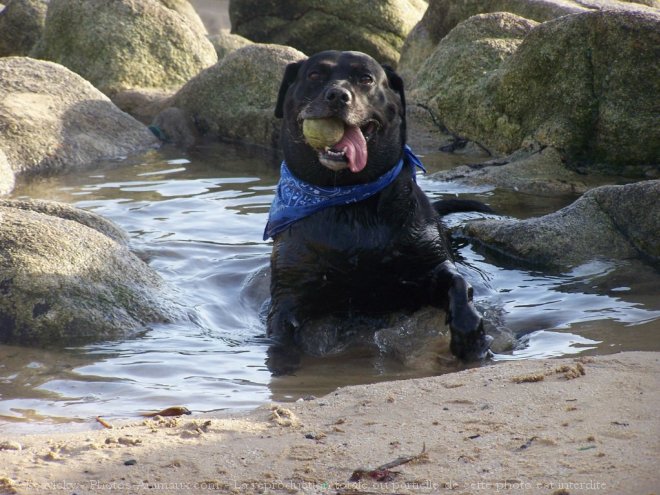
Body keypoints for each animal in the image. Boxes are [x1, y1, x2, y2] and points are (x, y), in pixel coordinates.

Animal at [262, 51, 490, 368]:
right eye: (315, 75)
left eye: (366, 79)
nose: (337, 95)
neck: (349, 201)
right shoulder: (289, 289)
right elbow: (280, 330)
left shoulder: (428, 262)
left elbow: (457, 282)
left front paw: (471, 336)